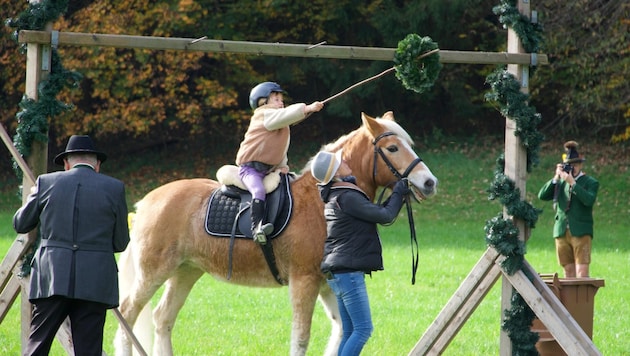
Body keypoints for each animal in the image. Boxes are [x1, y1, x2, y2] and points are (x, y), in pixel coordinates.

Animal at [115, 110, 440, 354]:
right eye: (392, 148)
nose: (429, 183)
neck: (322, 197)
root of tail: (146, 202)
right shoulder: (304, 282)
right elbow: (301, 339)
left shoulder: (326, 283)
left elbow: (339, 330)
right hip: (153, 273)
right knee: (127, 315)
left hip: (186, 271)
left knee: (162, 318)